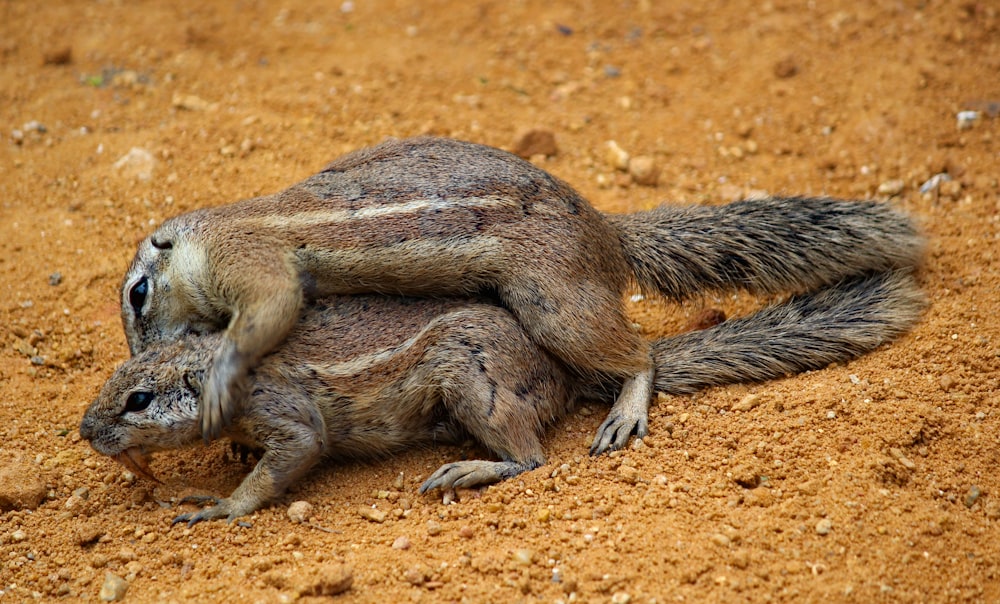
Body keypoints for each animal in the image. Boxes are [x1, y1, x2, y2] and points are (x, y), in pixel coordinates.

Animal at [82, 274, 924, 524]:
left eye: (139, 400)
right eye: (112, 384)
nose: (85, 430)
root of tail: (559, 370)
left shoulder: (291, 418)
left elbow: (291, 454)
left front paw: (218, 504)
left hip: (473, 379)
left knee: (530, 458)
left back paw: (469, 468)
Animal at [121, 134, 924, 450]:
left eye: (136, 297)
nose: (141, 356)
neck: (211, 232)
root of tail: (605, 234)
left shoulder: (251, 261)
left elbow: (273, 312)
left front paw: (221, 375)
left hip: (551, 299)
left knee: (639, 357)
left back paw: (626, 410)